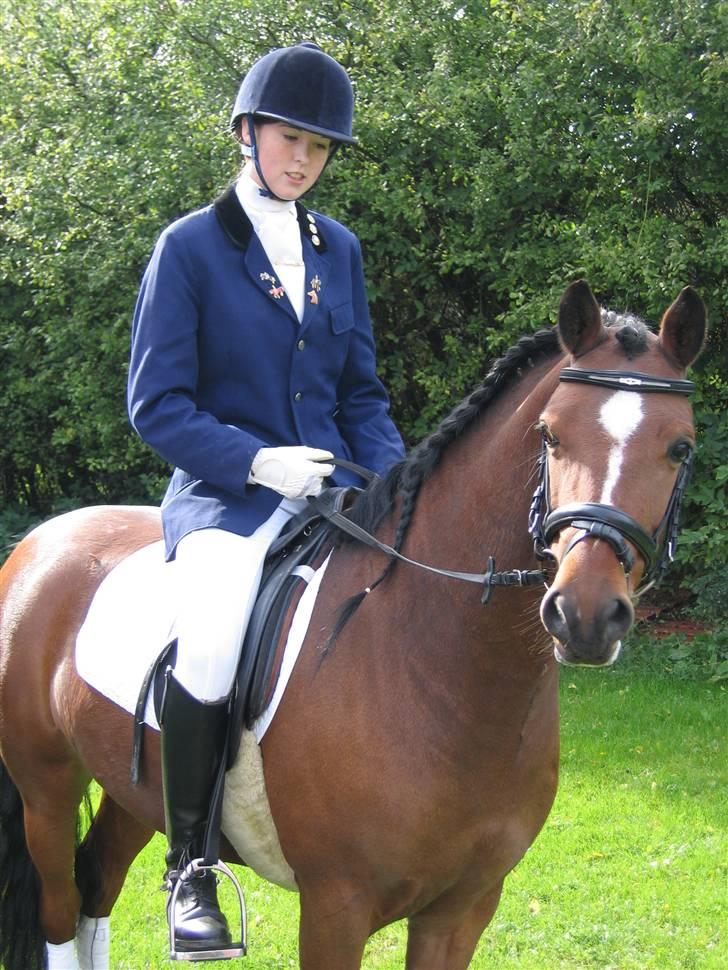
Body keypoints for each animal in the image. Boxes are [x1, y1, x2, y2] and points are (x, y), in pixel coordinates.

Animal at [0, 280, 705, 969]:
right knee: (60, 907)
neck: (439, 670)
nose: (585, 613)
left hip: (133, 789)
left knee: (97, 883)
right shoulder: (336, 906)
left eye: (680, 447)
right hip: (45, 787)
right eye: (550, 435)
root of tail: (37, 542)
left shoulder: (464, 907)